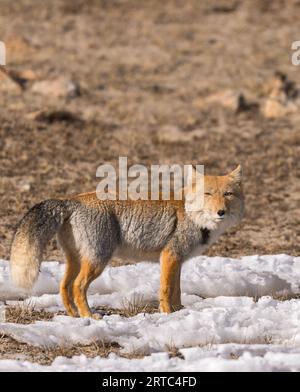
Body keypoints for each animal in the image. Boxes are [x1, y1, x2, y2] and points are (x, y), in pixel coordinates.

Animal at [10, 165, 244, 318]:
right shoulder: (170, 256)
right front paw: (168, 314)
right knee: (78, 287)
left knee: (63, 286)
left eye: (228, 194)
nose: (220, 212)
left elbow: (176, 290)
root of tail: (73, 200)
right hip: (98, 261)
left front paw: (179, 312)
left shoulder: (176, 260)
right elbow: (166, 290)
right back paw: (89, 316)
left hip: (76, 261)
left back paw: (73, 315)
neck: (191, 215)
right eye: (208, 194)